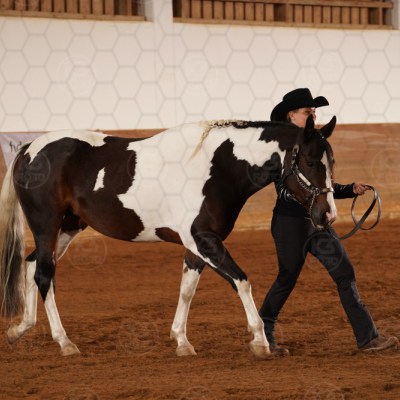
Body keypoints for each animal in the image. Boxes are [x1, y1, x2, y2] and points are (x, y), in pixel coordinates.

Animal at [0, 115, 336, 359]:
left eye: (331, 162)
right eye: (309, 161)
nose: (327, 214)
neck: (218, 168)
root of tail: (28, 149)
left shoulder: (197, 246)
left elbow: (186, 291)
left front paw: (182, 342)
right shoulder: (205, 240)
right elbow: (242, 281)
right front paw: (260, 342)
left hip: (68, 227)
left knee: (31, 266)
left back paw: (20, 329)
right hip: (47, 226)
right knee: (44, 274)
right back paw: (65, 342)